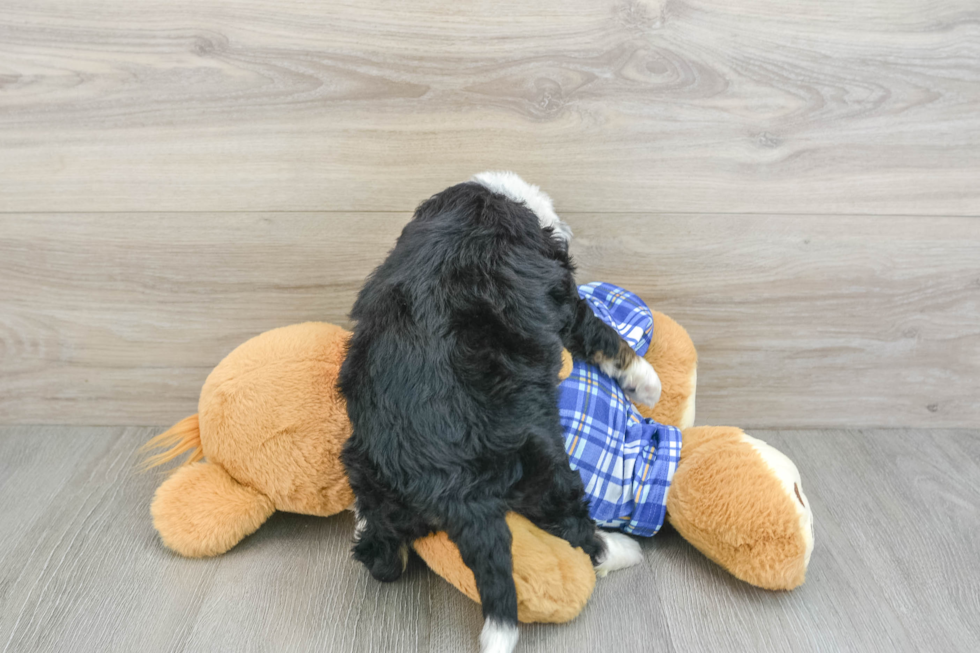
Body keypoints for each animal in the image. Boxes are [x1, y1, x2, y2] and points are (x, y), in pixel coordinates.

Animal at [340, 172, 664, 652]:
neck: (490, 203)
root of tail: (448, 482)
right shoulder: (562, 294)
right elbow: (601, 333)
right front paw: (647, 382)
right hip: (543, 465)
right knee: (576, 530)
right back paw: (622, 550)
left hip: (366, 465)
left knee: (383, 560)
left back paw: (365, 527)